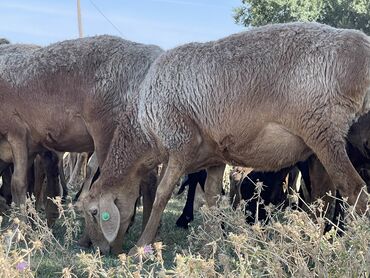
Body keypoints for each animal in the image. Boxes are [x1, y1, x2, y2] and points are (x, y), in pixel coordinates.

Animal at [81, 22, 370, 255]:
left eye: (94, 212)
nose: (101, 251)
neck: (143, 130)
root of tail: (363, 46)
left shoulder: (180, 144)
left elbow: (162, 195)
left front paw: (139, 248)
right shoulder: (214, 158)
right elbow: (211, 200)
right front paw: (214, 248)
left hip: (323, 130)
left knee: (355, 192)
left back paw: (349, 250)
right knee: (326, 198)